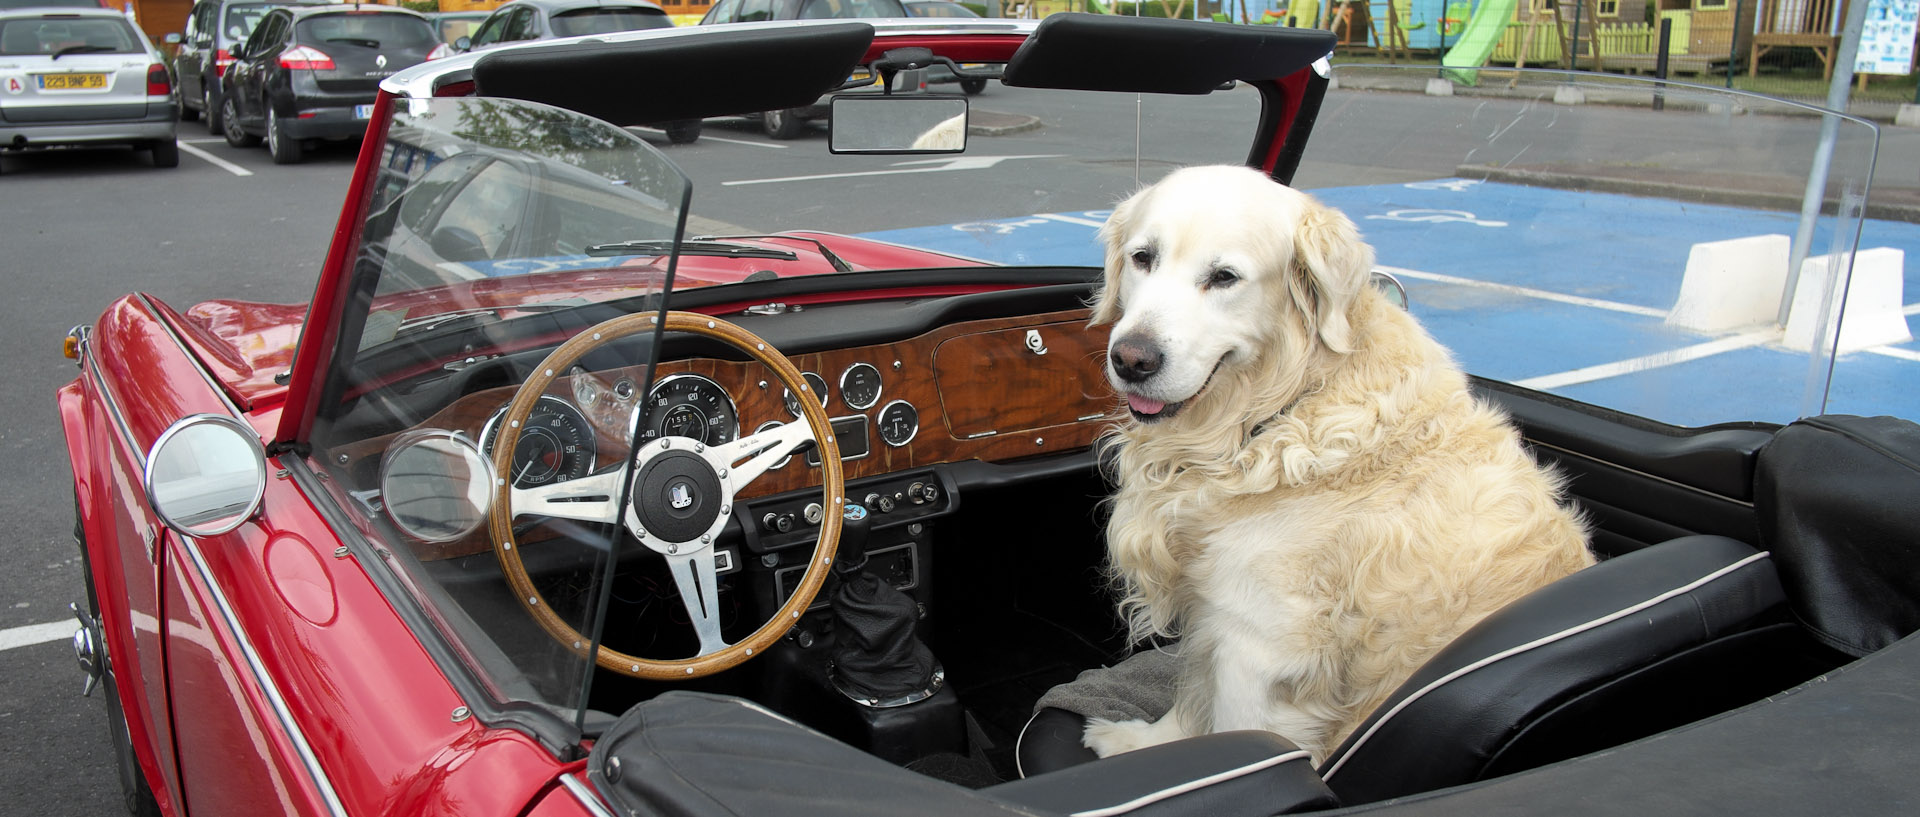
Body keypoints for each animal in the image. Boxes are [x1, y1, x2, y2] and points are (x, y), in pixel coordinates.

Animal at [1090, 165, 1597, 767]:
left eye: (1224, 277)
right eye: (1143, 258)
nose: (1131, 359)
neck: (1274, 417)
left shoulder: (1259, 643)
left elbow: (1235, 732)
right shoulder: (1211, 607)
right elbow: (1192, 695)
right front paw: (1141, 743)